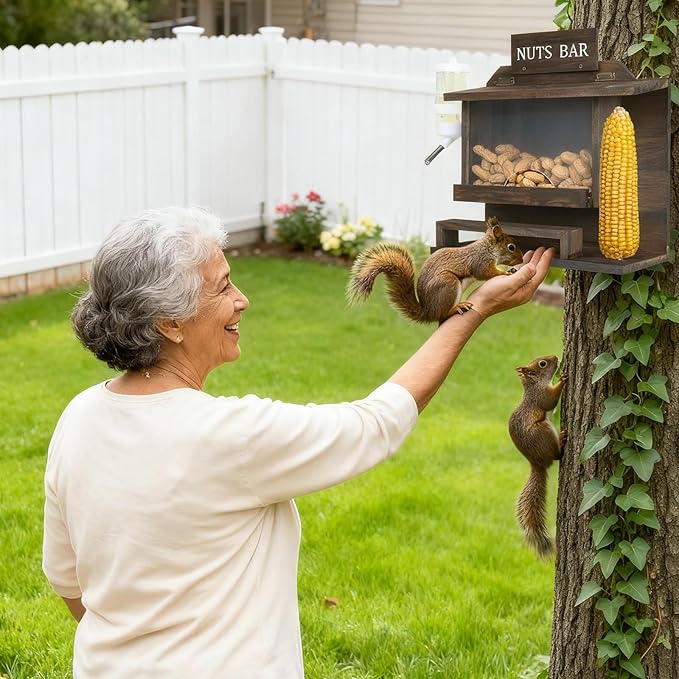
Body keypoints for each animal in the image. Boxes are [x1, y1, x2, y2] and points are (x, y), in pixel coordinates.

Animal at [346, 216, 523, 323]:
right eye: (511, 247)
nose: (521, 260)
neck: (488, 248)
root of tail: (428, 311)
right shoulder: (480, 262)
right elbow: (486, 273)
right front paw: (505, 272)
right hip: (448, 283)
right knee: (443, 315)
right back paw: (456, 308)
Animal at [508, 355, 567, 559]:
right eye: (542, 363)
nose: (555, 357)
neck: (533, 385)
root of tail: (537, 464)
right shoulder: (540, 396)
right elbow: (549, 401)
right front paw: (562, 379)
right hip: (544, 431)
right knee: (556, 456)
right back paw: (562, 442)